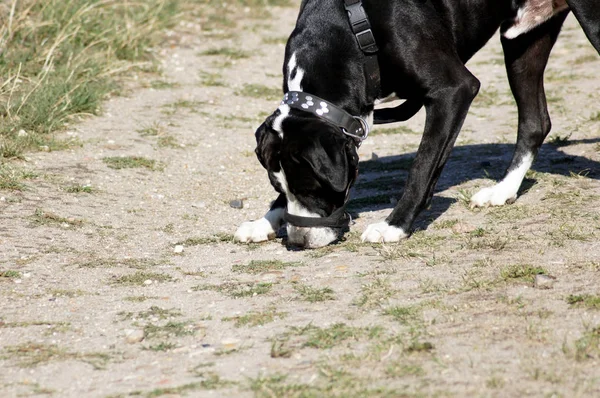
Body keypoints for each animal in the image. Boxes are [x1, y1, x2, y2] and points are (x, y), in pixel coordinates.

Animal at [234, 0, 600, 249]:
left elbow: (422, 166)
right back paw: (502, 191)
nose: (297, 240)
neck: (350, 33)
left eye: (313, 188)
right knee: (535, 121)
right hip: (522, 40)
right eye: (280, 187)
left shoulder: (453, 91)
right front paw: (265, 220)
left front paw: (394, 224)